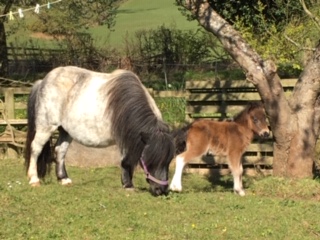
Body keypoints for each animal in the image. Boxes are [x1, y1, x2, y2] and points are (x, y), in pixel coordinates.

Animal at [24, 66, 175, 197]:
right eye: (151, 159)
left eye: (168, 160)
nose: (161, 190)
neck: (125, 106)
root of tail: (42, 81)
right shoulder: (124, 139)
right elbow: (126, 161)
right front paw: (128, 185)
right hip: (46, 127)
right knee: (35, 148)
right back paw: (34, 179)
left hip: (65, 131)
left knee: (60, 151)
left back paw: (64, 179)